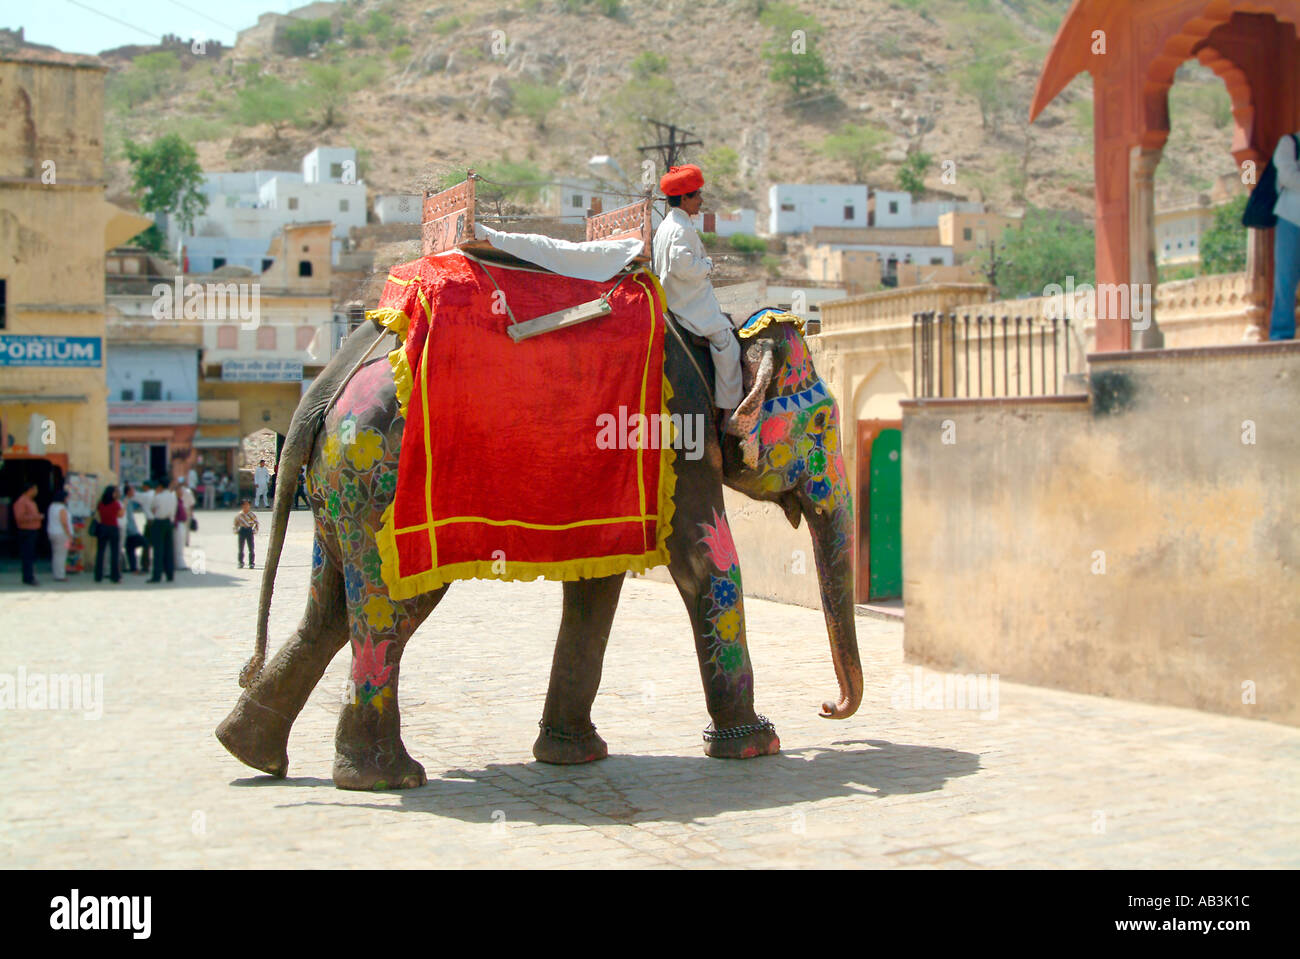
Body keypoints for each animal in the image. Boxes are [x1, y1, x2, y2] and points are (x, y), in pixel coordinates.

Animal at [217, 302, 857, 790]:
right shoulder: (680, 436)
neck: (714, 334)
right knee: (387, 613)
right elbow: (707, 563)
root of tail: (326, 387)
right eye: (823, 424)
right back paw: (388, 778)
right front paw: (758, 745)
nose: (828, 710)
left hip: (336, 491)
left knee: (327, 611)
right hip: (378, 486)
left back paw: (251, 752)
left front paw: (571, 755)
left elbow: (598, 579)